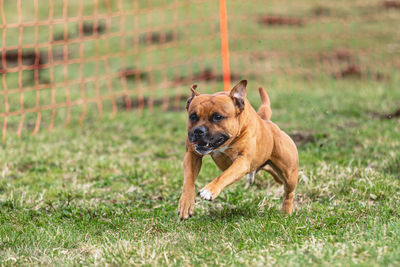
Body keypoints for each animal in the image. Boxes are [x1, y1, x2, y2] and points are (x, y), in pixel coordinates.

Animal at [177, 80, 296, 221]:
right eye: (193, 116)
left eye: (217, 117)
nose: (198, 131)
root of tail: (268, 123)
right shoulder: (192, 155)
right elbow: (189, 180)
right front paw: (186, 203)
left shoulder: (242, 161)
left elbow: (225, 175)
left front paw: (209, 190)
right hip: (264, 166)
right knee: (270, 171)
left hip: (289, 174)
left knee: (289, 192)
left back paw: (286, 212)